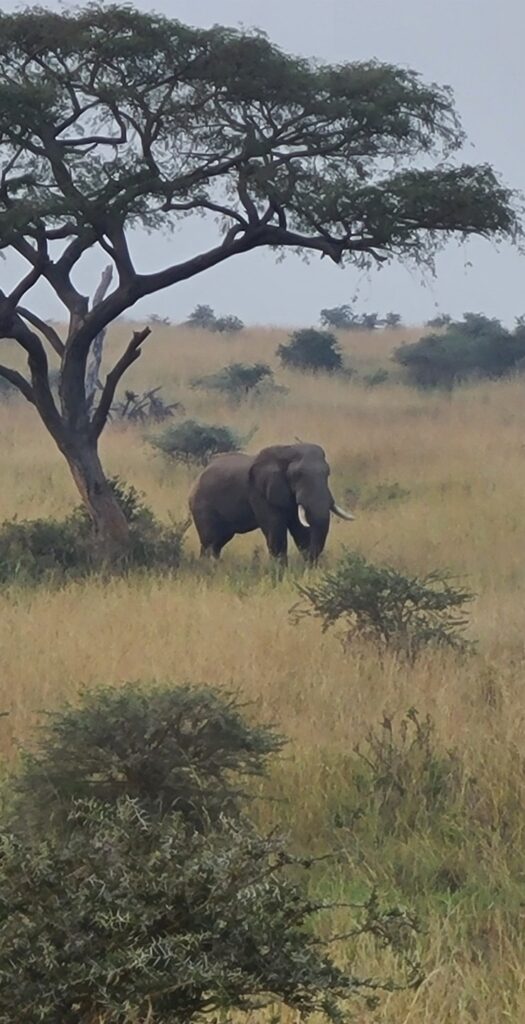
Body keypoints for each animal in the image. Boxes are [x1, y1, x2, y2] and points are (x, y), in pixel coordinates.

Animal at [189, 442, 354, 565]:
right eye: (298, 475)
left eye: (327, 473)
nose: (313, 563)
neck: (288, 450)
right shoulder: (260, 492)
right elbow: (275, 528)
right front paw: (279, 571)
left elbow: (300, 530)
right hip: (202, 506)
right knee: (210, 541)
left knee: (217, 542)